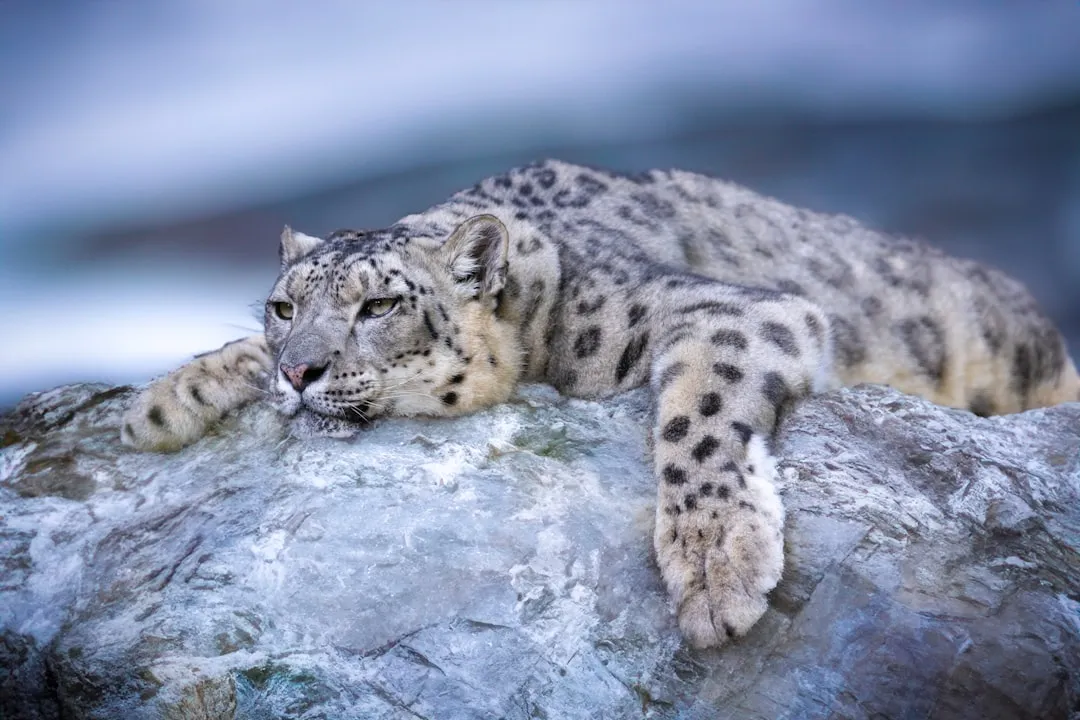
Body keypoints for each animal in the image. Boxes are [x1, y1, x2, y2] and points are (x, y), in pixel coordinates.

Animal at [120, 159, 1080, 648]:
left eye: (380, 305)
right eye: (285, 307)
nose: (300, 372)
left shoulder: (726, 310)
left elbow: (697, 422)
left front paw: (716, 571)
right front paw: (164, 402)